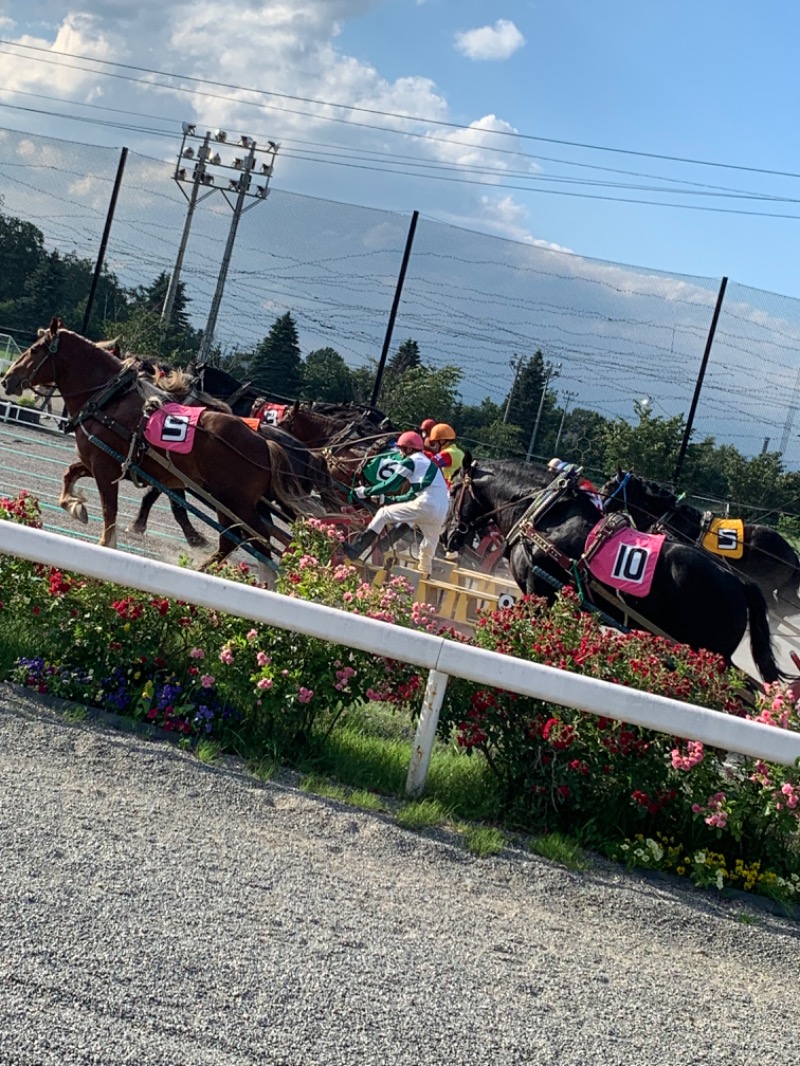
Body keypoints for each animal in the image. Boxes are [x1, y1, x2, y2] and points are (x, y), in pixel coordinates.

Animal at [3, 317, 315, 567]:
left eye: (34, 350)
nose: (8, 380)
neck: (111, 401)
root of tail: (266, 445)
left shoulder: (105, 467)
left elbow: (110, 509)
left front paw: (106, 540)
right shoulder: (100, 461)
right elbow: (70, 474)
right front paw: (75, 506)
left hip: (233, 501)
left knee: (251, 538)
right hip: (235, 503)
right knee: (252, 539)